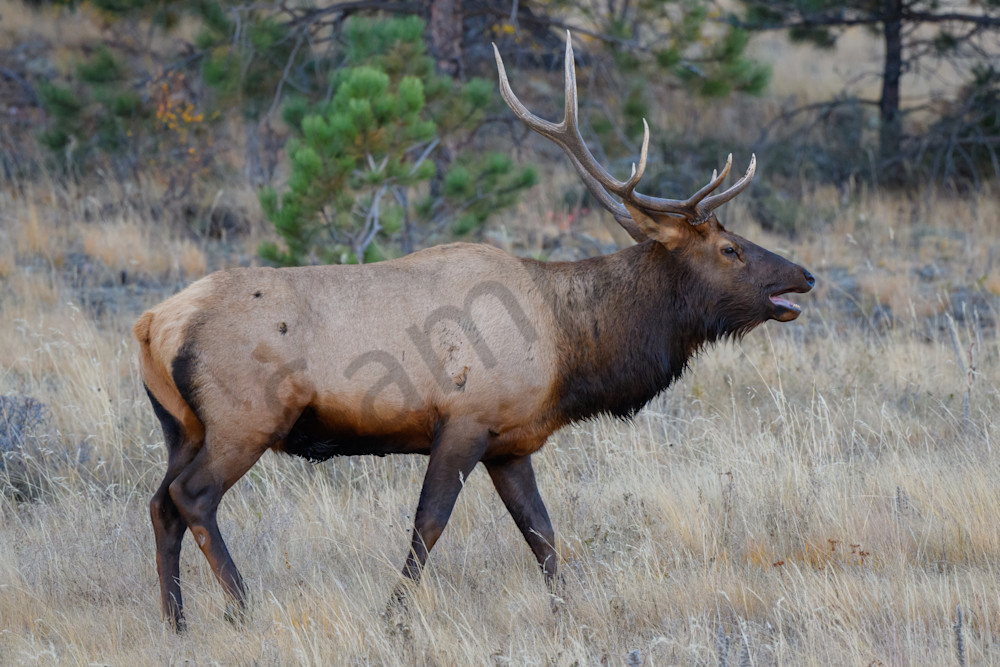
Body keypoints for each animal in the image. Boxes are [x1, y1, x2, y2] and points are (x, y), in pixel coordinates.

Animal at [134, 33, 814, 631]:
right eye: (729, 249)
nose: (804, 275)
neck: (569, 349)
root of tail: (151, 324)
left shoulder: (512, 441)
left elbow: (542, 532)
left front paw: (567, 617)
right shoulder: (464, 420)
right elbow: (429, 524)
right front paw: (393, 618)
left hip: (181, 427)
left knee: (160, 503)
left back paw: (176, 622)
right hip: (244, 420)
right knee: (192, 497)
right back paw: (240, 606)